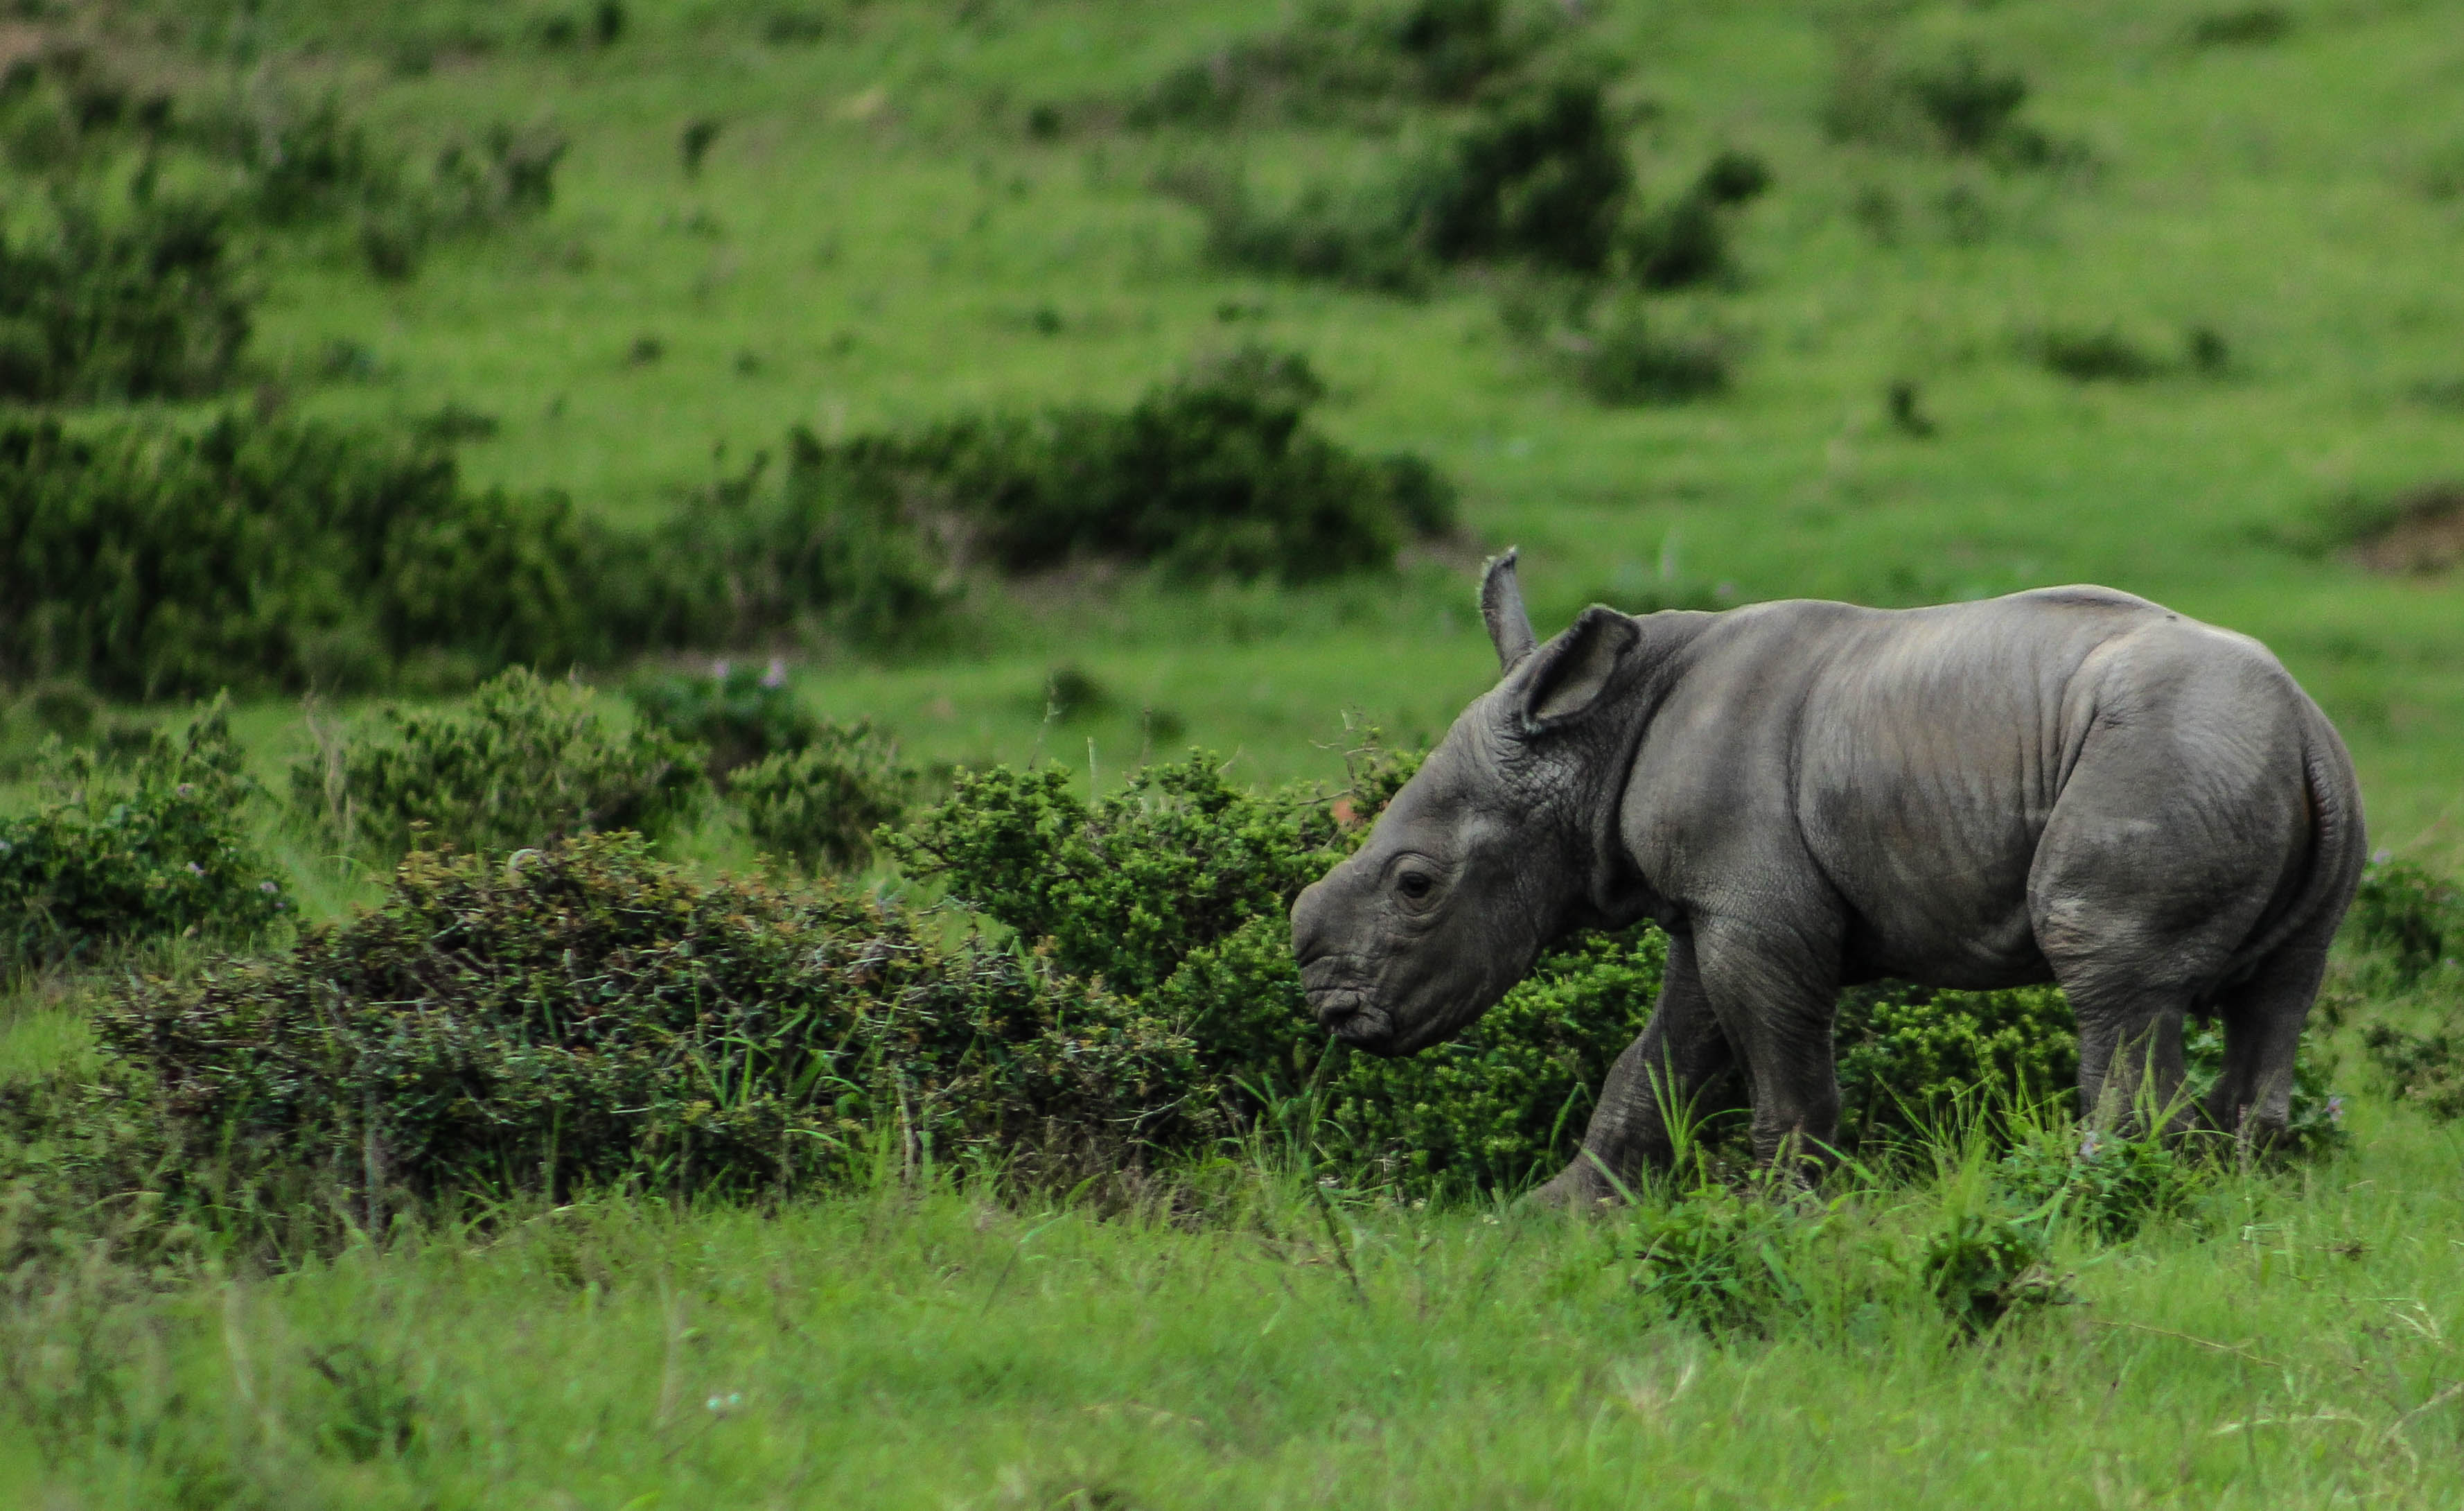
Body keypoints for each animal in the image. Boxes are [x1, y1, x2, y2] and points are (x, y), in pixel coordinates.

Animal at [1291, 547, 2365, 1198]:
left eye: (1416, 886)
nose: (1331, 1005)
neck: (1598, 735)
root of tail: (2307, 727)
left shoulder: (1756, 914)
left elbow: (1776, 1057)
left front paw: (1778, 1209)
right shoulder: (1712, 906)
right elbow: (1658, 1059)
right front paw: (1560, 1210)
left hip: (2166, 755)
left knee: (2111, 974)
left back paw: (2089, 1191)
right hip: (2276, 779)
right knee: (2279, 990)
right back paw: (2228, 1195)